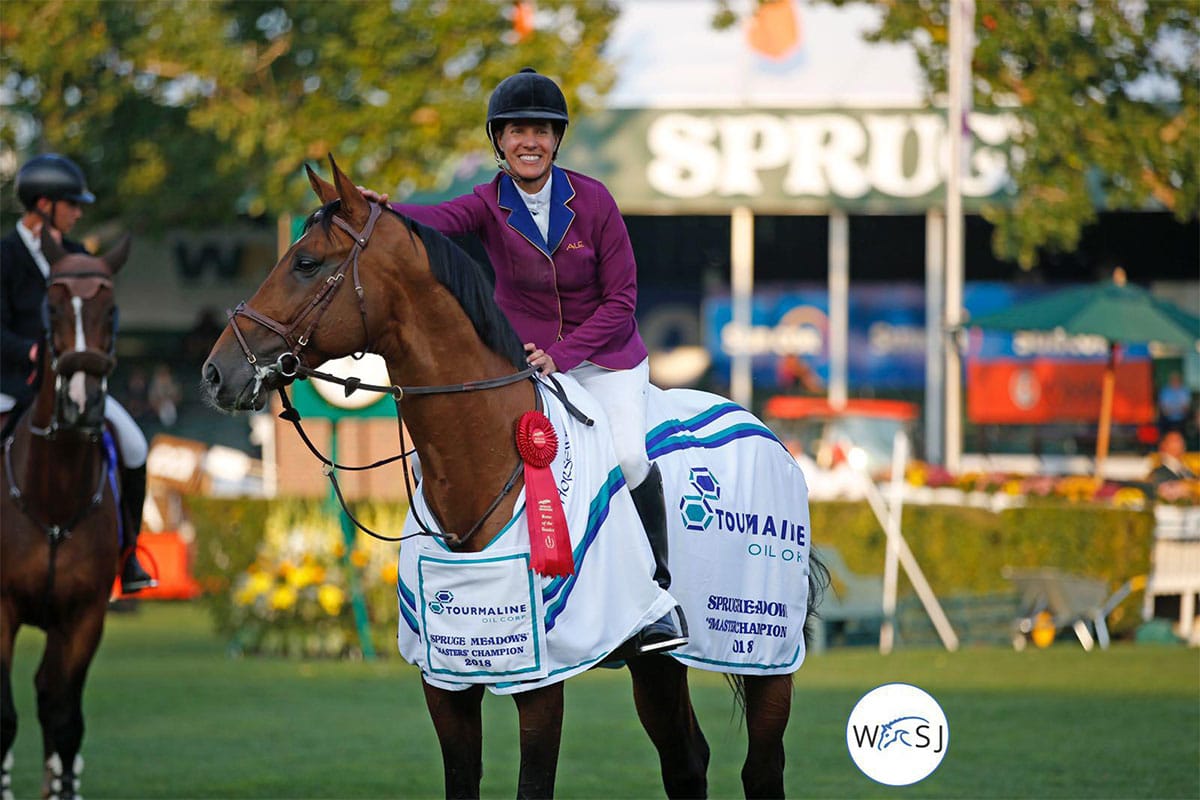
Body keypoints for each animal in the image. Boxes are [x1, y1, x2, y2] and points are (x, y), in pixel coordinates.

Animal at [201, 156, 822, 798]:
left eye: (305, 263)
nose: (216, 373)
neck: (486, 459)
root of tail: (766, 432)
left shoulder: (542, 680)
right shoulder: (446, 681)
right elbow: (461, 776)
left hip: (764, 649)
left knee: (760, 766)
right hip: (659, 662)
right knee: (685, 759)